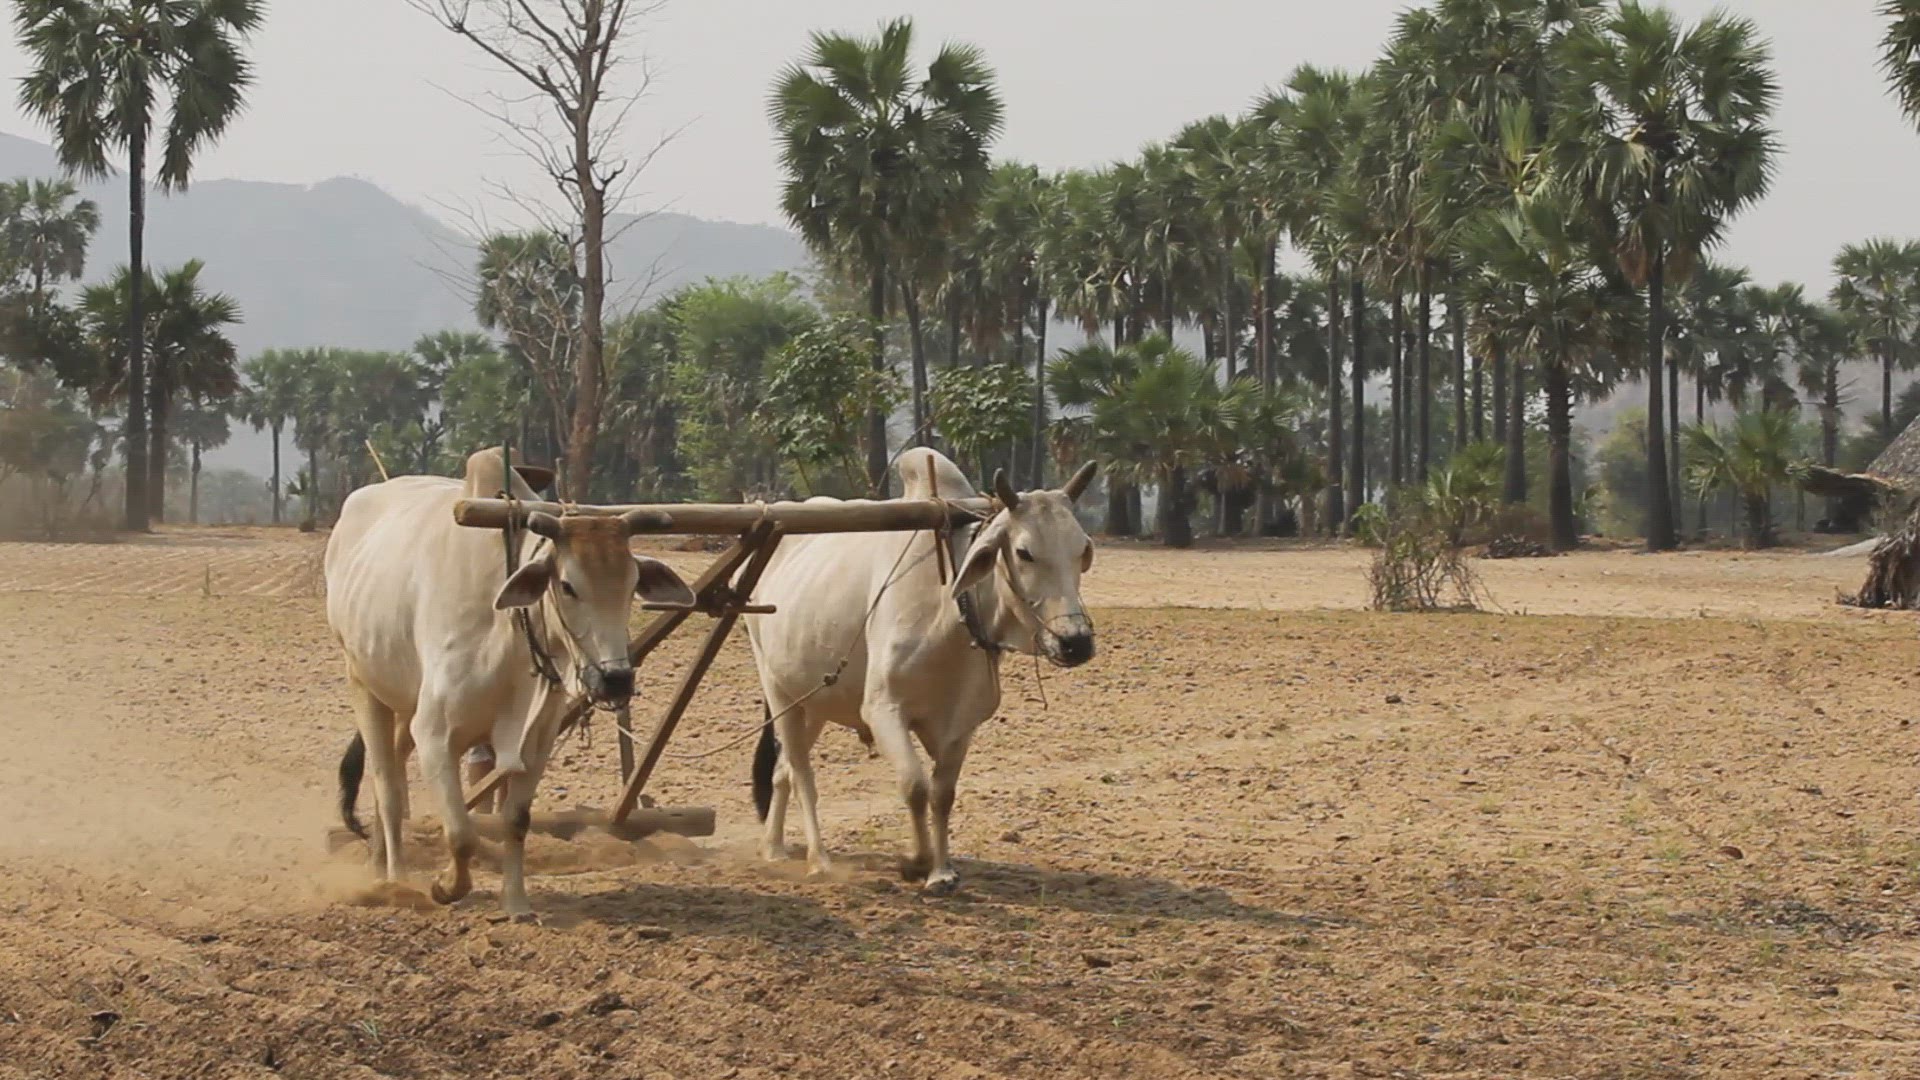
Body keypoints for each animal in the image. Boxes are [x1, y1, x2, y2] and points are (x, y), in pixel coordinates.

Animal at [325, 447, 693, 917]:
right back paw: (396, 880)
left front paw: (516, 904)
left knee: (387, 776)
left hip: (403, 700)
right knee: (388, 789)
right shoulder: (435, 732)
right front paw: (446, 887)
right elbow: (461, 833)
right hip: (362, 682)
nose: (615, 679)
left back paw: (378, 865)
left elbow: (515, 822)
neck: (511, 632)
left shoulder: (535, 741)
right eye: (568, 585)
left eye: (632, 586)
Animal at [746, 448, 1099, 895]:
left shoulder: (962, 723)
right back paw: (818, 859)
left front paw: (941, 870)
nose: (1076, 642)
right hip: (778, 691)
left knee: (782, 771)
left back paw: (773, 848)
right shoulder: (883, 710)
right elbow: (914, 786)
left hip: (813, 699)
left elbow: (942, 794)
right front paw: (916, 861)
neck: (952, 611)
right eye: (1024, 553)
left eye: (1082, 550)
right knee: (801, 771)